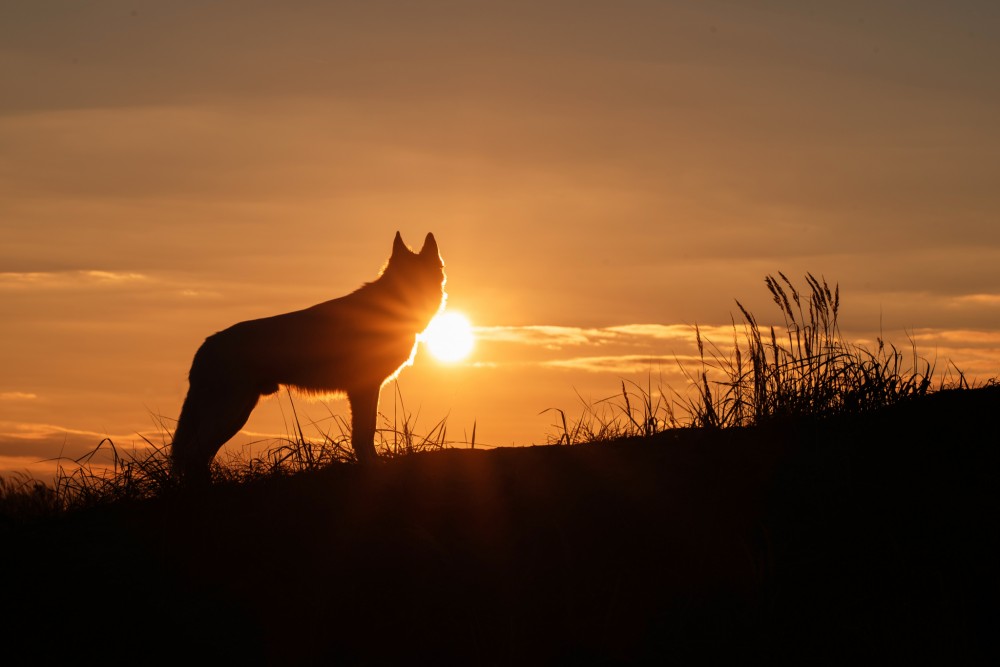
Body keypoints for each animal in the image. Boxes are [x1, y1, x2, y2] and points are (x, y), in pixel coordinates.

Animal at [172, 232, 446, 482]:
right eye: (406, 279)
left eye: (422, 278)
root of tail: (205, 346)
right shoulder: (362, 388)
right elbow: (363, 433)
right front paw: (370, 466)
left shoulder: (370, 388)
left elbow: (367, 431)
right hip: (230, 411)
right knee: (192, 454)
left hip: (238, 414)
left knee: (198, 454)